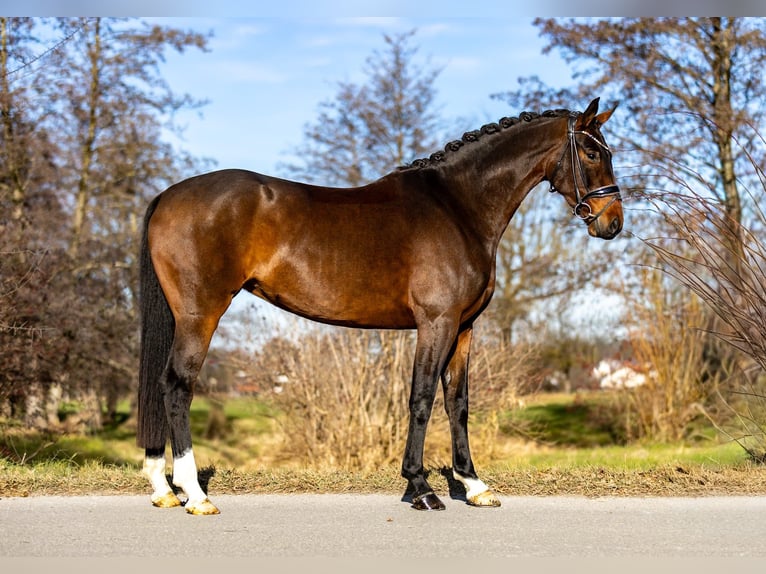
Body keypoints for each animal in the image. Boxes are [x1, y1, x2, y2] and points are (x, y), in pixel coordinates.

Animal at [137, 97, 623, 515]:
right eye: (592, 153)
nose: (613, 223)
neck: (458, 207)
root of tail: (168, 195)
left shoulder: (465, 327)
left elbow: (458, 402)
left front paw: (474, 485)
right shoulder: (436, 323)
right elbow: (422, 397)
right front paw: (421, 487)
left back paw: (163, 488)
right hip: (201, 315)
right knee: (177, 386)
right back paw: (195, 494)